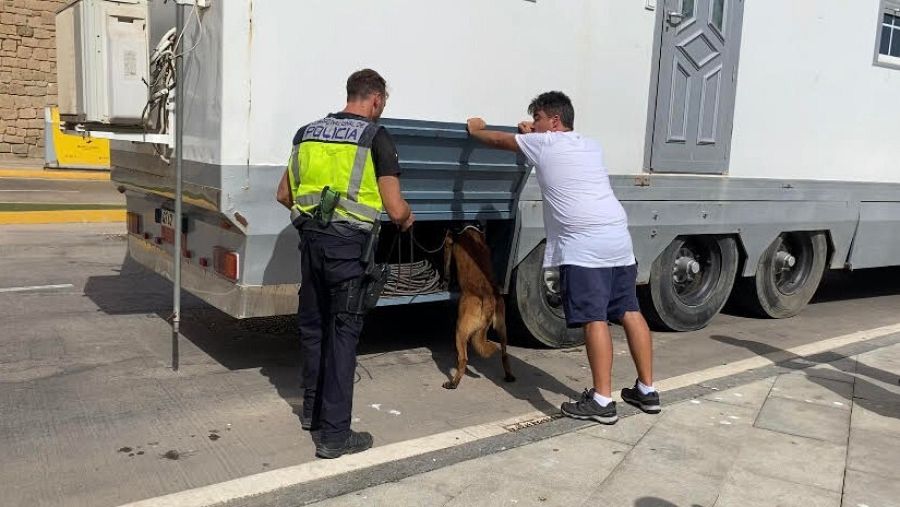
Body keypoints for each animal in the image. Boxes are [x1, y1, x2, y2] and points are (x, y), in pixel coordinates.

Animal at [441, 225, 515, 389]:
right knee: (504, 354)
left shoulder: (448, 244)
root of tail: (488, 299)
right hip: (503, 329)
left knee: (463, 359)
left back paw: (453, 383)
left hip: (460, 329)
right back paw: (508, 375)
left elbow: (447, 263)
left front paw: (447, 280)